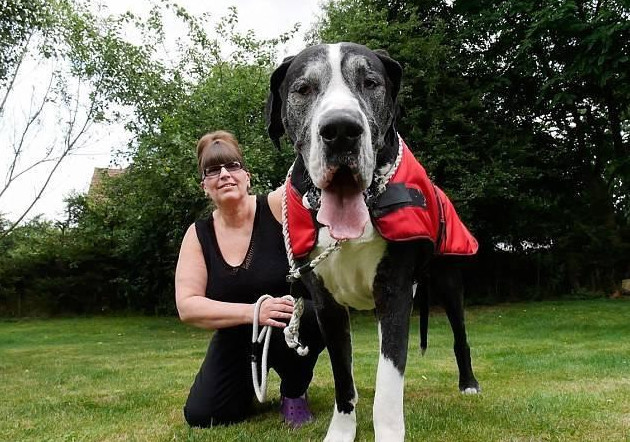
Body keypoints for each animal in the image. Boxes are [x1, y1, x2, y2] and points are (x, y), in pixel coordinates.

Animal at [270, 43, 482, 442]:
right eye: (303, 88)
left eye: (370, 82)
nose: (340, 130)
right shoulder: (326, 305)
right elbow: (344, 381)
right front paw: (340, 433)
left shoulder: (395, 291)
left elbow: (387, 385)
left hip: (448, 280)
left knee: (458, 335)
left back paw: (469, 385)